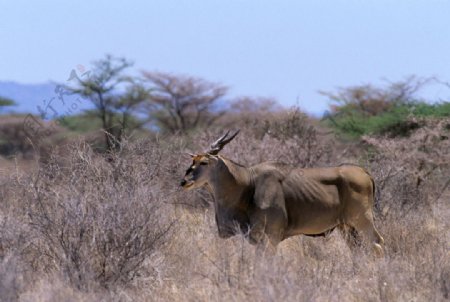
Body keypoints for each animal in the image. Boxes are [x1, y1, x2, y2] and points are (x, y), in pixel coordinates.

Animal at [181, 130, 384, 255]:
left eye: (203, 162)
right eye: (193, 161)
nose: (184, 181)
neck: (248, 184)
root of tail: (364, 172)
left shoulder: (270, 238)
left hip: (362, 220)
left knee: (377, 243)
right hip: (347, 227)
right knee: (357, 250)